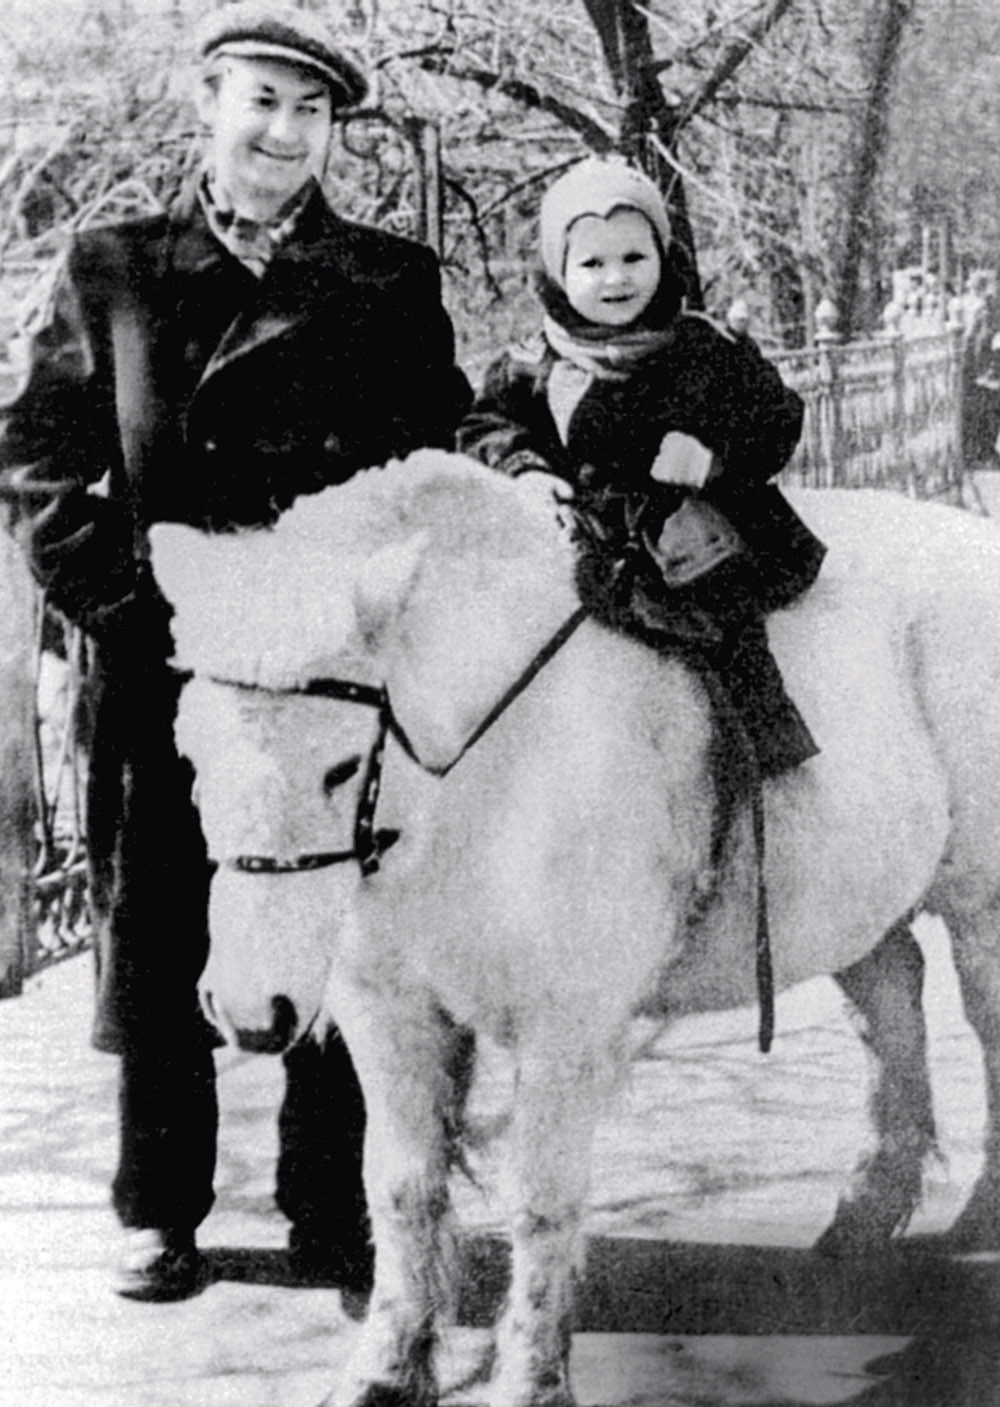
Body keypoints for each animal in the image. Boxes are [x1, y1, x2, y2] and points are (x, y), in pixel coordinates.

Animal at [150, 450, 1000, 1407]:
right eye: (191, 753)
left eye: (338, 768)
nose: (248, 1010)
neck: (468, 787)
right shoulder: (390, 1015)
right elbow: (401, 1190)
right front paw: (385, 1365)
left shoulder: (566, 1027)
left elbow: (543, 1198)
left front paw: (530, 1375)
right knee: (892, 1003)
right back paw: (865, 1210)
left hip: (982, 904)